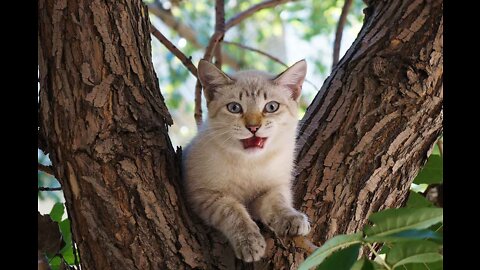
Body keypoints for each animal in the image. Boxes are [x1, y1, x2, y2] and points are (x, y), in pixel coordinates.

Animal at [182, 58, 310, 262]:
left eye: (271, 107)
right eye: (234, 108)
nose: (253, 127)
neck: (251, 163)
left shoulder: (273, 187)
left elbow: (278, 202)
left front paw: (291, 218)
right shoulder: (204, 194)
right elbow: (234, 212)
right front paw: (250, 242)